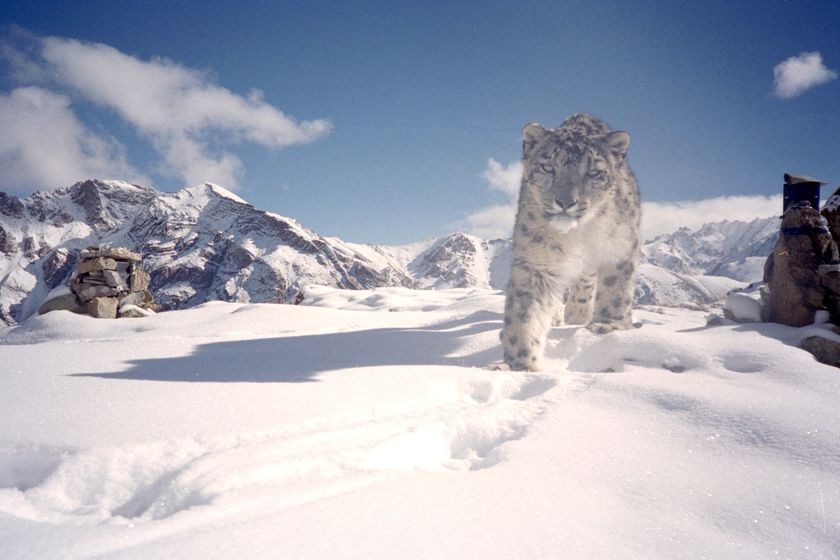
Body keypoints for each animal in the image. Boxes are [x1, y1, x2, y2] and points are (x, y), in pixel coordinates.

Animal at [498, 112, 644, 372]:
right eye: (548, 167)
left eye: (593, 173)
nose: (565, 202)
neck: (578, 233)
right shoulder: (536, 260)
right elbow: (525, 312)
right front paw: (518, 365)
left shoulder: (621, 246)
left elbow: (616, 290)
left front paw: (608, 325)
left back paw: (578, 315)